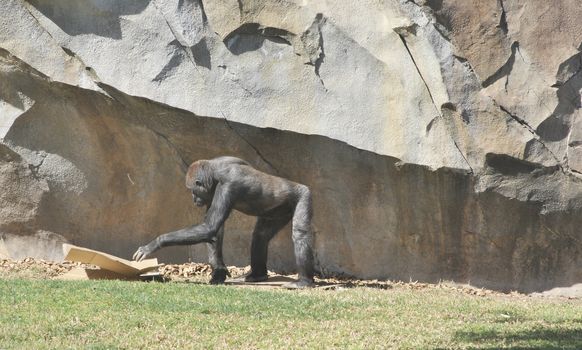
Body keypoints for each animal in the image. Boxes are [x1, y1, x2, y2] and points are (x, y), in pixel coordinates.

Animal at [133, 156, 314, 288]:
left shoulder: (228, 186)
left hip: (303, 195)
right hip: (278, 211)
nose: (193, 199)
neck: (214, 173)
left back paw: (304, 281)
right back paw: (257, 275)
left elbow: (210, 227)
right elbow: (214, 231)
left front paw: (155, 243)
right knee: (260, 236)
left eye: (193, 191)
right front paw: (219, 271)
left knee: (300, 234)